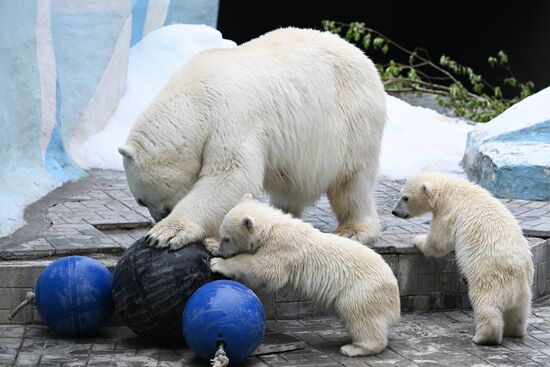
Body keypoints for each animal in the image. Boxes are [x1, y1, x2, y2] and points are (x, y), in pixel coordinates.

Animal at [121, 27, 388, 249]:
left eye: (142, 200)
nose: (160, 216)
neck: (194, 98)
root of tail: (362, 56)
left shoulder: (231, 117)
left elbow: (231, 175)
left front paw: (164, 234)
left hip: (353, 120)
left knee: (352, 180)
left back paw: (353, 230)